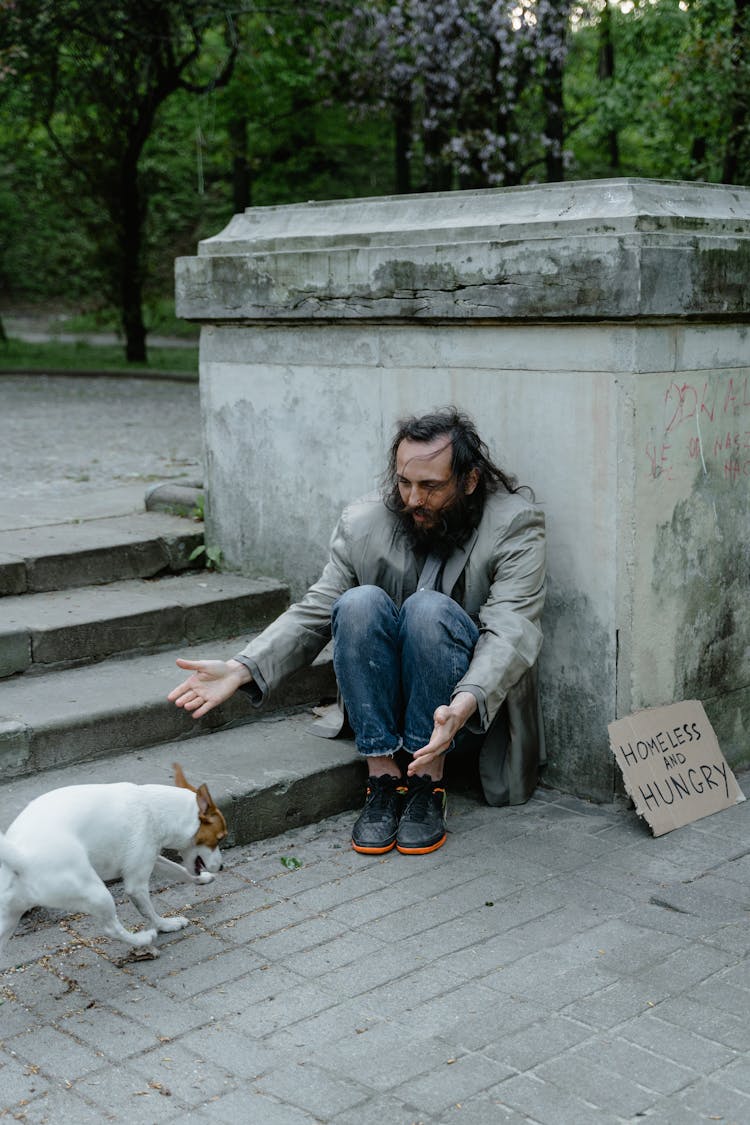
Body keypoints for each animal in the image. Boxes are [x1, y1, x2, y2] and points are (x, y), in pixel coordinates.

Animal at [0, 760, 226, 963]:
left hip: (8, 921)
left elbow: (180, 871)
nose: (223, 866)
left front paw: (202, 879)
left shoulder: (152, 859)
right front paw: (165, 925)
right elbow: (150, 913)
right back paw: (142, 938)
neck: (155, 808)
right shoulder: (136, 883)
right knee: (111, 929)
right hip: (97, 893)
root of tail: (19, 855)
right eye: (219, 839)